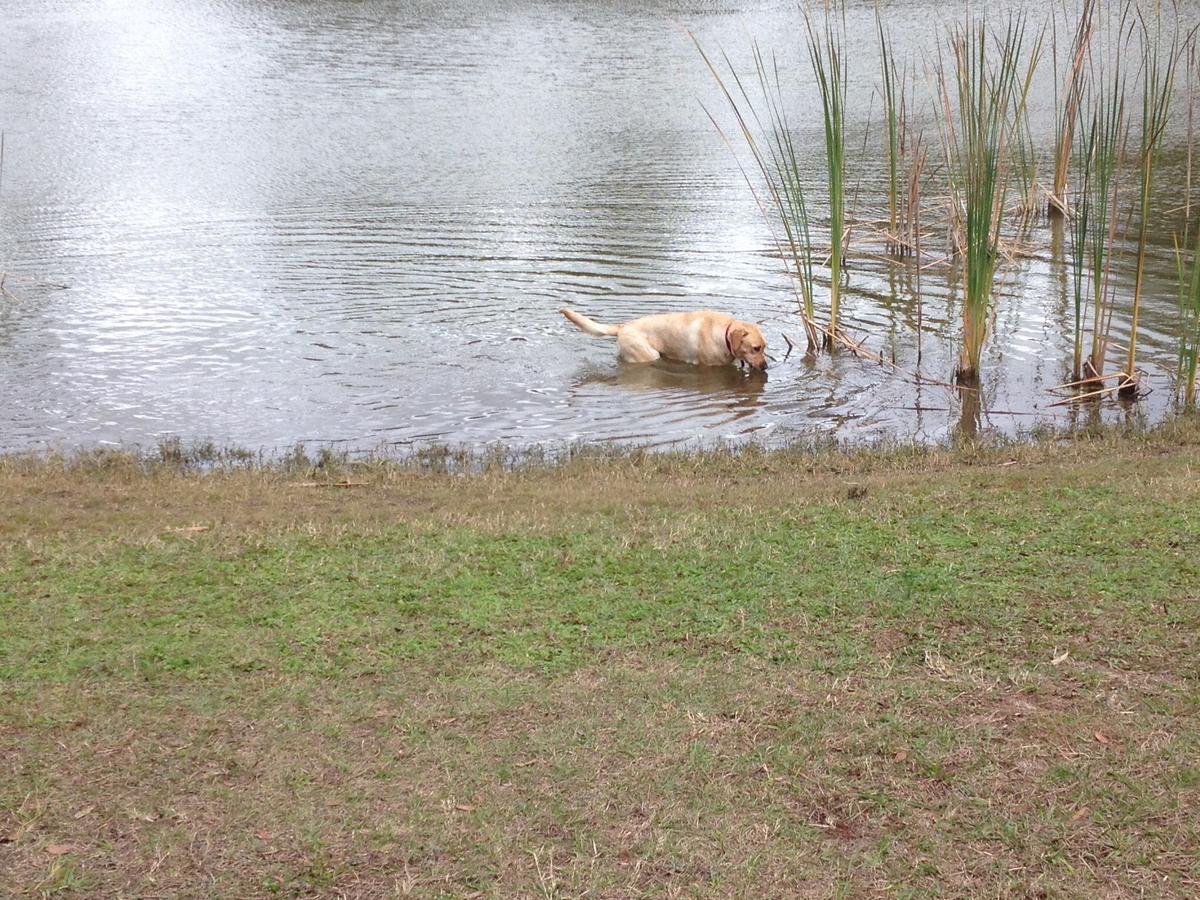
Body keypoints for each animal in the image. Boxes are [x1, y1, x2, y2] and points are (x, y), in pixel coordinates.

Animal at [561, 307, 768, 369]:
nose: (766, 367)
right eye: (756, 348)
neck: (723, 334)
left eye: (764, 347)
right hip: (649, 354)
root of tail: (622, 327)